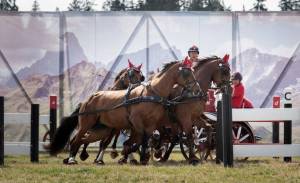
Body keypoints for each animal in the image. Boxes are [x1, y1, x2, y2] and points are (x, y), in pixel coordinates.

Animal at [47, 59, 200, 164]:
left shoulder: (151, 124)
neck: (151, 94)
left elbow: (143, 139)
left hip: (101, 129)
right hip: (86, 125)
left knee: (83, 140)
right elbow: (139, 139)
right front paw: (130, 154)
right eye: (187, 73)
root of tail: (88, 99)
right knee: (76, 140)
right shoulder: (136, 121)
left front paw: (139, 156)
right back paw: (72, 159)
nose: (197, 89)